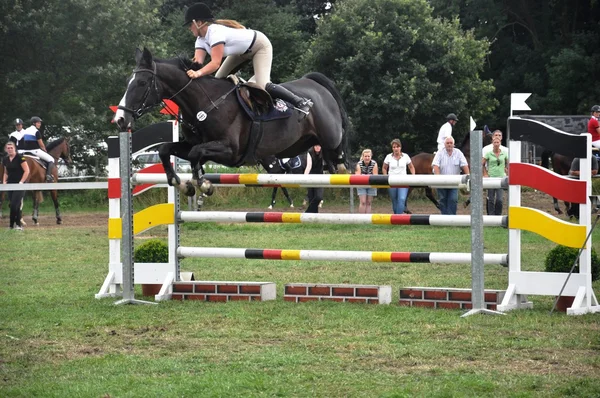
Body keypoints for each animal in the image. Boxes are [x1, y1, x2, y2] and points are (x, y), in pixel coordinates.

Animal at [114, 47, 350, 197]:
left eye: (142, 82)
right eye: (127, 81)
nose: (120, 119)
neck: (204, 104)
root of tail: (314, 83)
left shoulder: (230, 150)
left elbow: (196, 154)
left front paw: (204, 184)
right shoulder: (192, 145)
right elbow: (166, 149)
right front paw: (182, 184)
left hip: (330, 137)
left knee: (338, 151)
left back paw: (342, 168)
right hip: (298, 144)